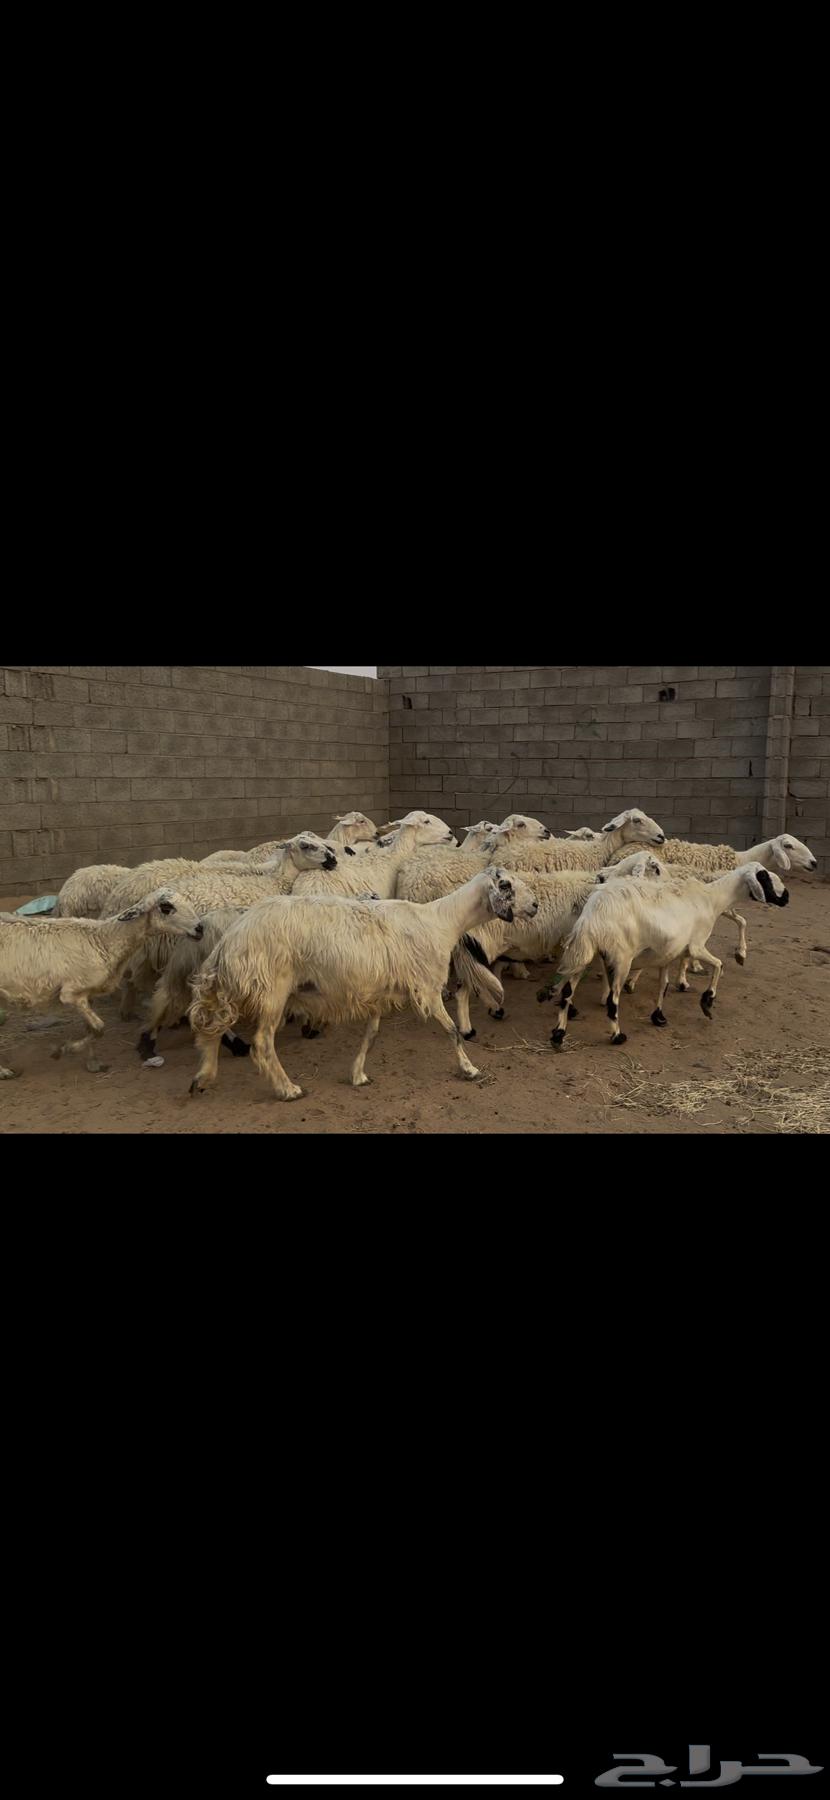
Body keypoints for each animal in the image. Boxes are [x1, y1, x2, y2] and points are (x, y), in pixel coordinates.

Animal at [0, 888, 204, 1075]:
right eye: (166, 907)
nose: (200, 929)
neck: (102, 939)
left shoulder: (87, 994)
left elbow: (90, 1029)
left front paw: (93, 1064)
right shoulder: (70, 993)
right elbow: (99, 1028)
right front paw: (63, 1050)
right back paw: (5, 1072)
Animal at [187, 865, 539, 1099]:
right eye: (506, 884)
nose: (535, 905)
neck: (442, 921)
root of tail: (231, 939)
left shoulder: (380, 992)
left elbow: (371, 1036)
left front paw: (358, 1074)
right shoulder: (427, 987)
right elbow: (452, 1031)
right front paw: (469, 1069)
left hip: (241, 985)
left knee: (212, 1027)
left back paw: (203, 1077)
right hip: (272, 989)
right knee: (260, 1043)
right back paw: (288, 1088)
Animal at [545, 862, 790, 1052]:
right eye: (764, 877)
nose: (787, 897)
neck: (712, 899)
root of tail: (592, 918)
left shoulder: (667, 953)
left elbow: (663, 985)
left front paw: (659, 1016)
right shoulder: (696, 945)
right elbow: (719, 965)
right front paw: (707, 1002)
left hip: (587, 953)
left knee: (567, 993)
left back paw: (558, 1034)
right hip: (621, 958)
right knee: (613, 1001)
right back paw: (617, 1036)